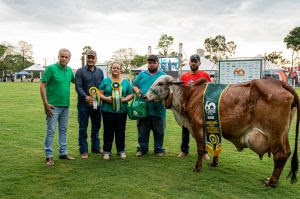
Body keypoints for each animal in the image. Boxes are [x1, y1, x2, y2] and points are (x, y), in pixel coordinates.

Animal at [145, 75, 298, 188]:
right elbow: (214, 146)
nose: (145, 96)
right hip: (283, 135)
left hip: (274, 135)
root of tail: (279, 83)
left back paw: (271, 182)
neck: (190, 95)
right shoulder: (211, 127)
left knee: (280, 155)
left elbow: (201, 148)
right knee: (287, 153)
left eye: (160, 83)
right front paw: (214, 163)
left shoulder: (197, 125)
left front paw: (197, 167)